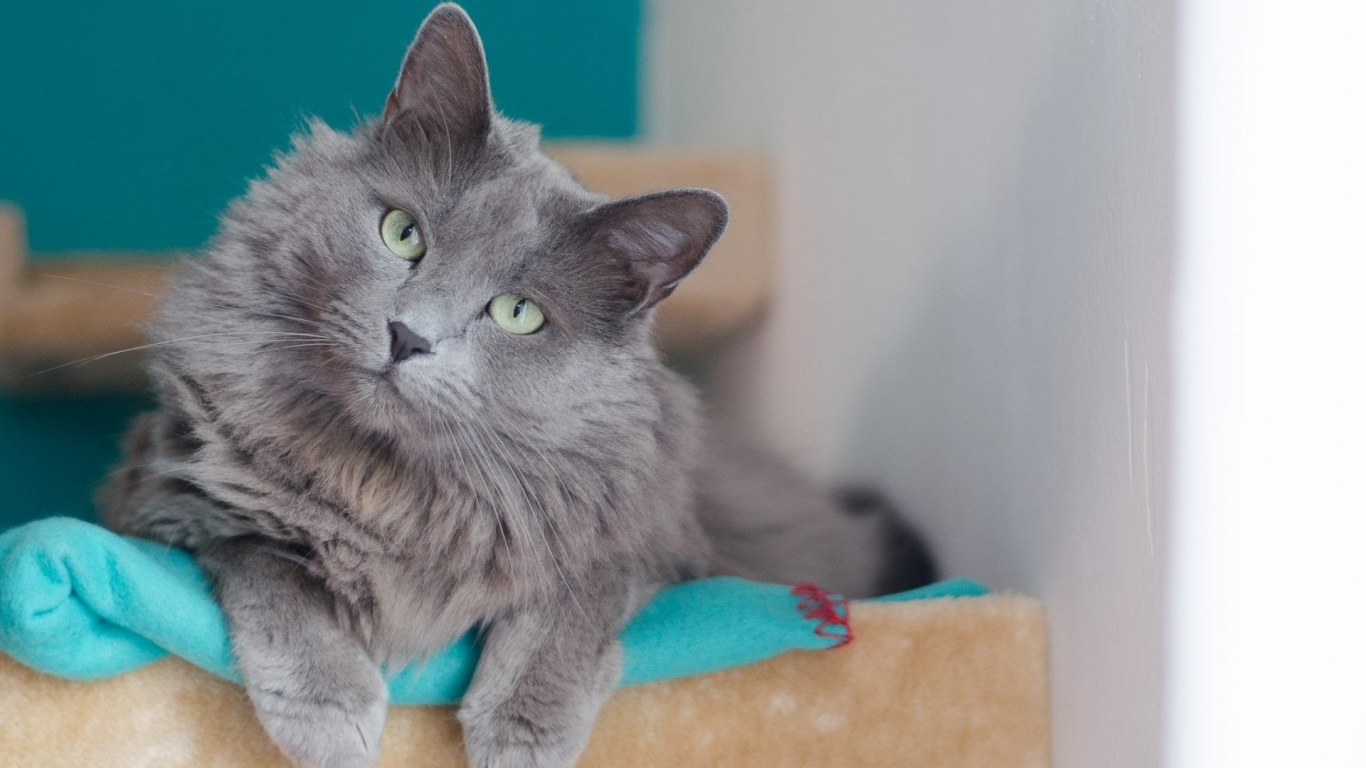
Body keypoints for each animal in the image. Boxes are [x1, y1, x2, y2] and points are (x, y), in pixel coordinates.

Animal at [96, 4, 934, 759]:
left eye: (519, 313)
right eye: (402, 233)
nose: (409, 336)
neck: (387, 484)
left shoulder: (645, 539)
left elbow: (570, 607)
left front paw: (522, 732)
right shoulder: (166, 495)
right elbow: (269, 563)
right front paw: (327, 710)